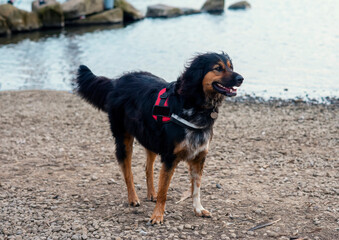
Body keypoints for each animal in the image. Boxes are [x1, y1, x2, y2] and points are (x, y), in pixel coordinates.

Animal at [74, 52, 244, 223]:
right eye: (218, 68)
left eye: (231, 67)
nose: (241, 78)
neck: (195, 106)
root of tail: (116, 82)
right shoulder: (170, 157)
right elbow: (164, 190)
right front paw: (157, 215)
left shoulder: (199, 156)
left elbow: (196, 189)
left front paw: (198, 209)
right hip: (124, 139)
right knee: (127, 171)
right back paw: (133, 198)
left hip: (150, 138)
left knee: (147, 167)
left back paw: (151, 194)